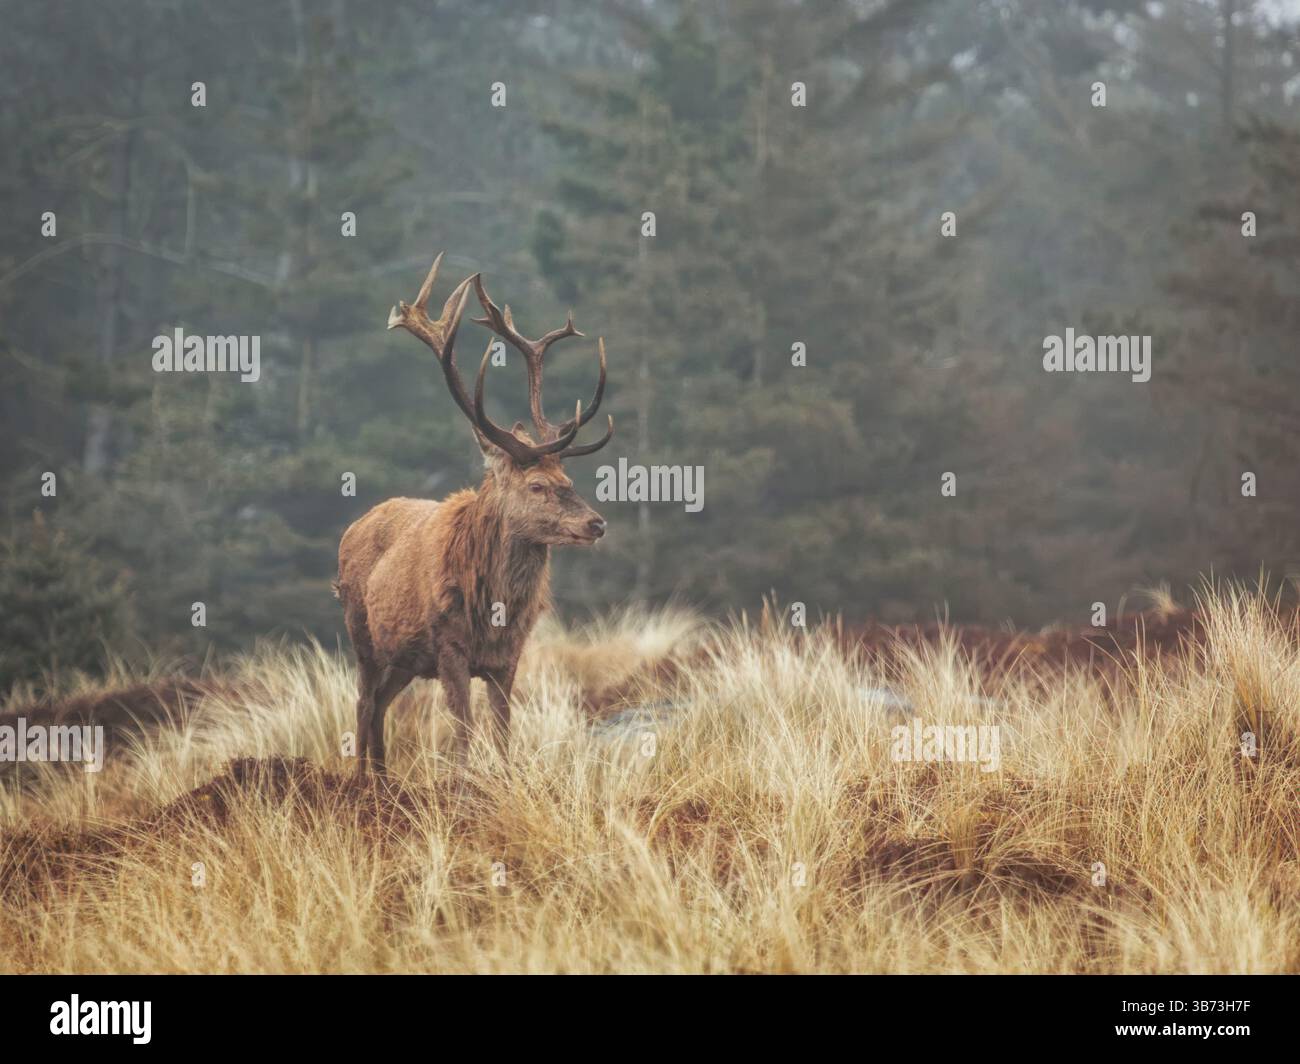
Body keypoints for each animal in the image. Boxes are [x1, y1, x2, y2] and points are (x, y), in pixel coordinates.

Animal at [334, 254, 614, 775]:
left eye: (568, 479)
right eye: (537, 485)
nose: (596, 523)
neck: (495, 609)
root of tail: (354, 526)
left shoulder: (509, 655)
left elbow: (504, 732)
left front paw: (506, 778)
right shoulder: (450, 647)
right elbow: (464, 733)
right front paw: (465, 785)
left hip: (403, 658)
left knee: (379, 704)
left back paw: (385, 781)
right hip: (360, 631)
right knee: (362, 702)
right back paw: (361, 781)